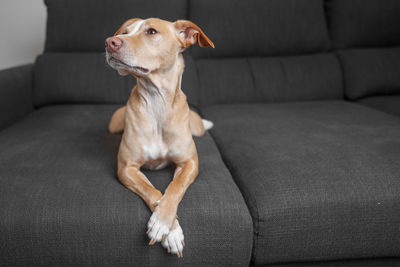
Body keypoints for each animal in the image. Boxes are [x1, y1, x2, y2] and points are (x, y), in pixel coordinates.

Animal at [104, 18, 214, 258]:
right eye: (125, 32)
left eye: (151, 32)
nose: (110, 42)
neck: (157, 102)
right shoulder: (127, 168)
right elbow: (153, 191)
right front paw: (169, 229)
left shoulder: (190, 163)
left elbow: (174, 189)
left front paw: (163, 223)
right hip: (114, 124)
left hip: (197, 129)